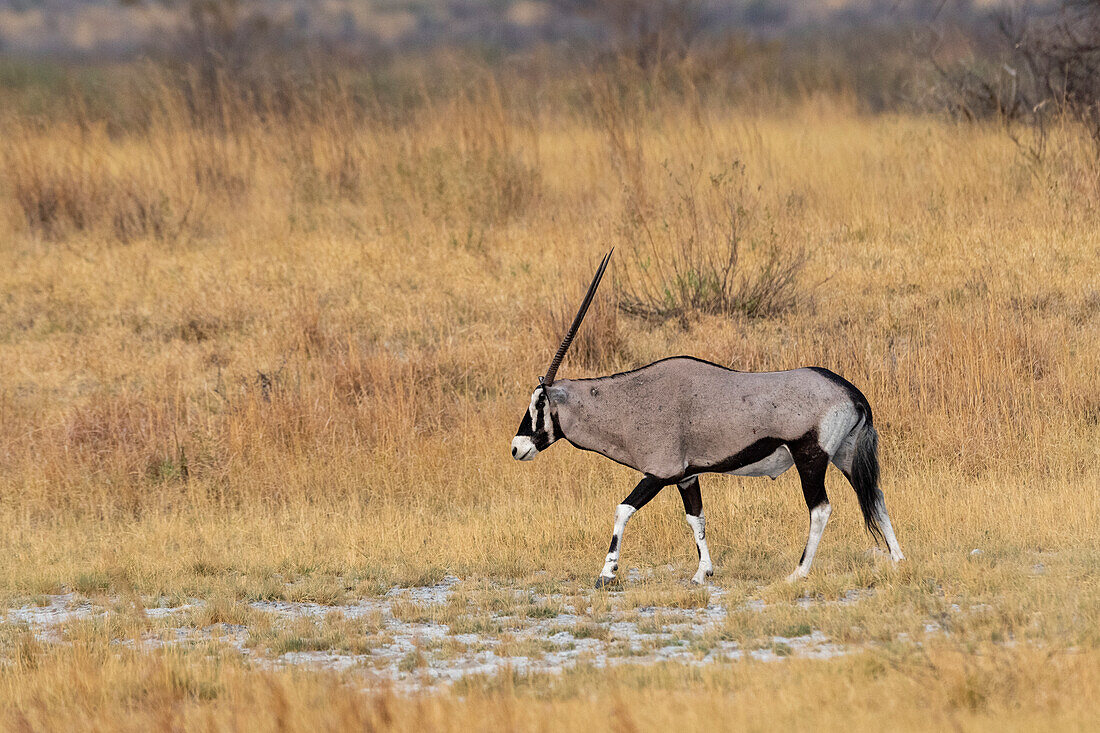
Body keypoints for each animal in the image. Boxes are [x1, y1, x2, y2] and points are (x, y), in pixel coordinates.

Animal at [510, 248, 906, 585]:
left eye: (539, 404)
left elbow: (622, 510)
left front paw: (607, 574)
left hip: (811, 457)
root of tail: (851, 393)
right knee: (876, 494)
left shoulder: (659, 472)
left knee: (821, 508)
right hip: (845, 455)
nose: (517, 448)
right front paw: (703, 573)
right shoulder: (686, 477)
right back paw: (898, 560)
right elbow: (696, 518)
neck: (629, 400)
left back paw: (799, 572)